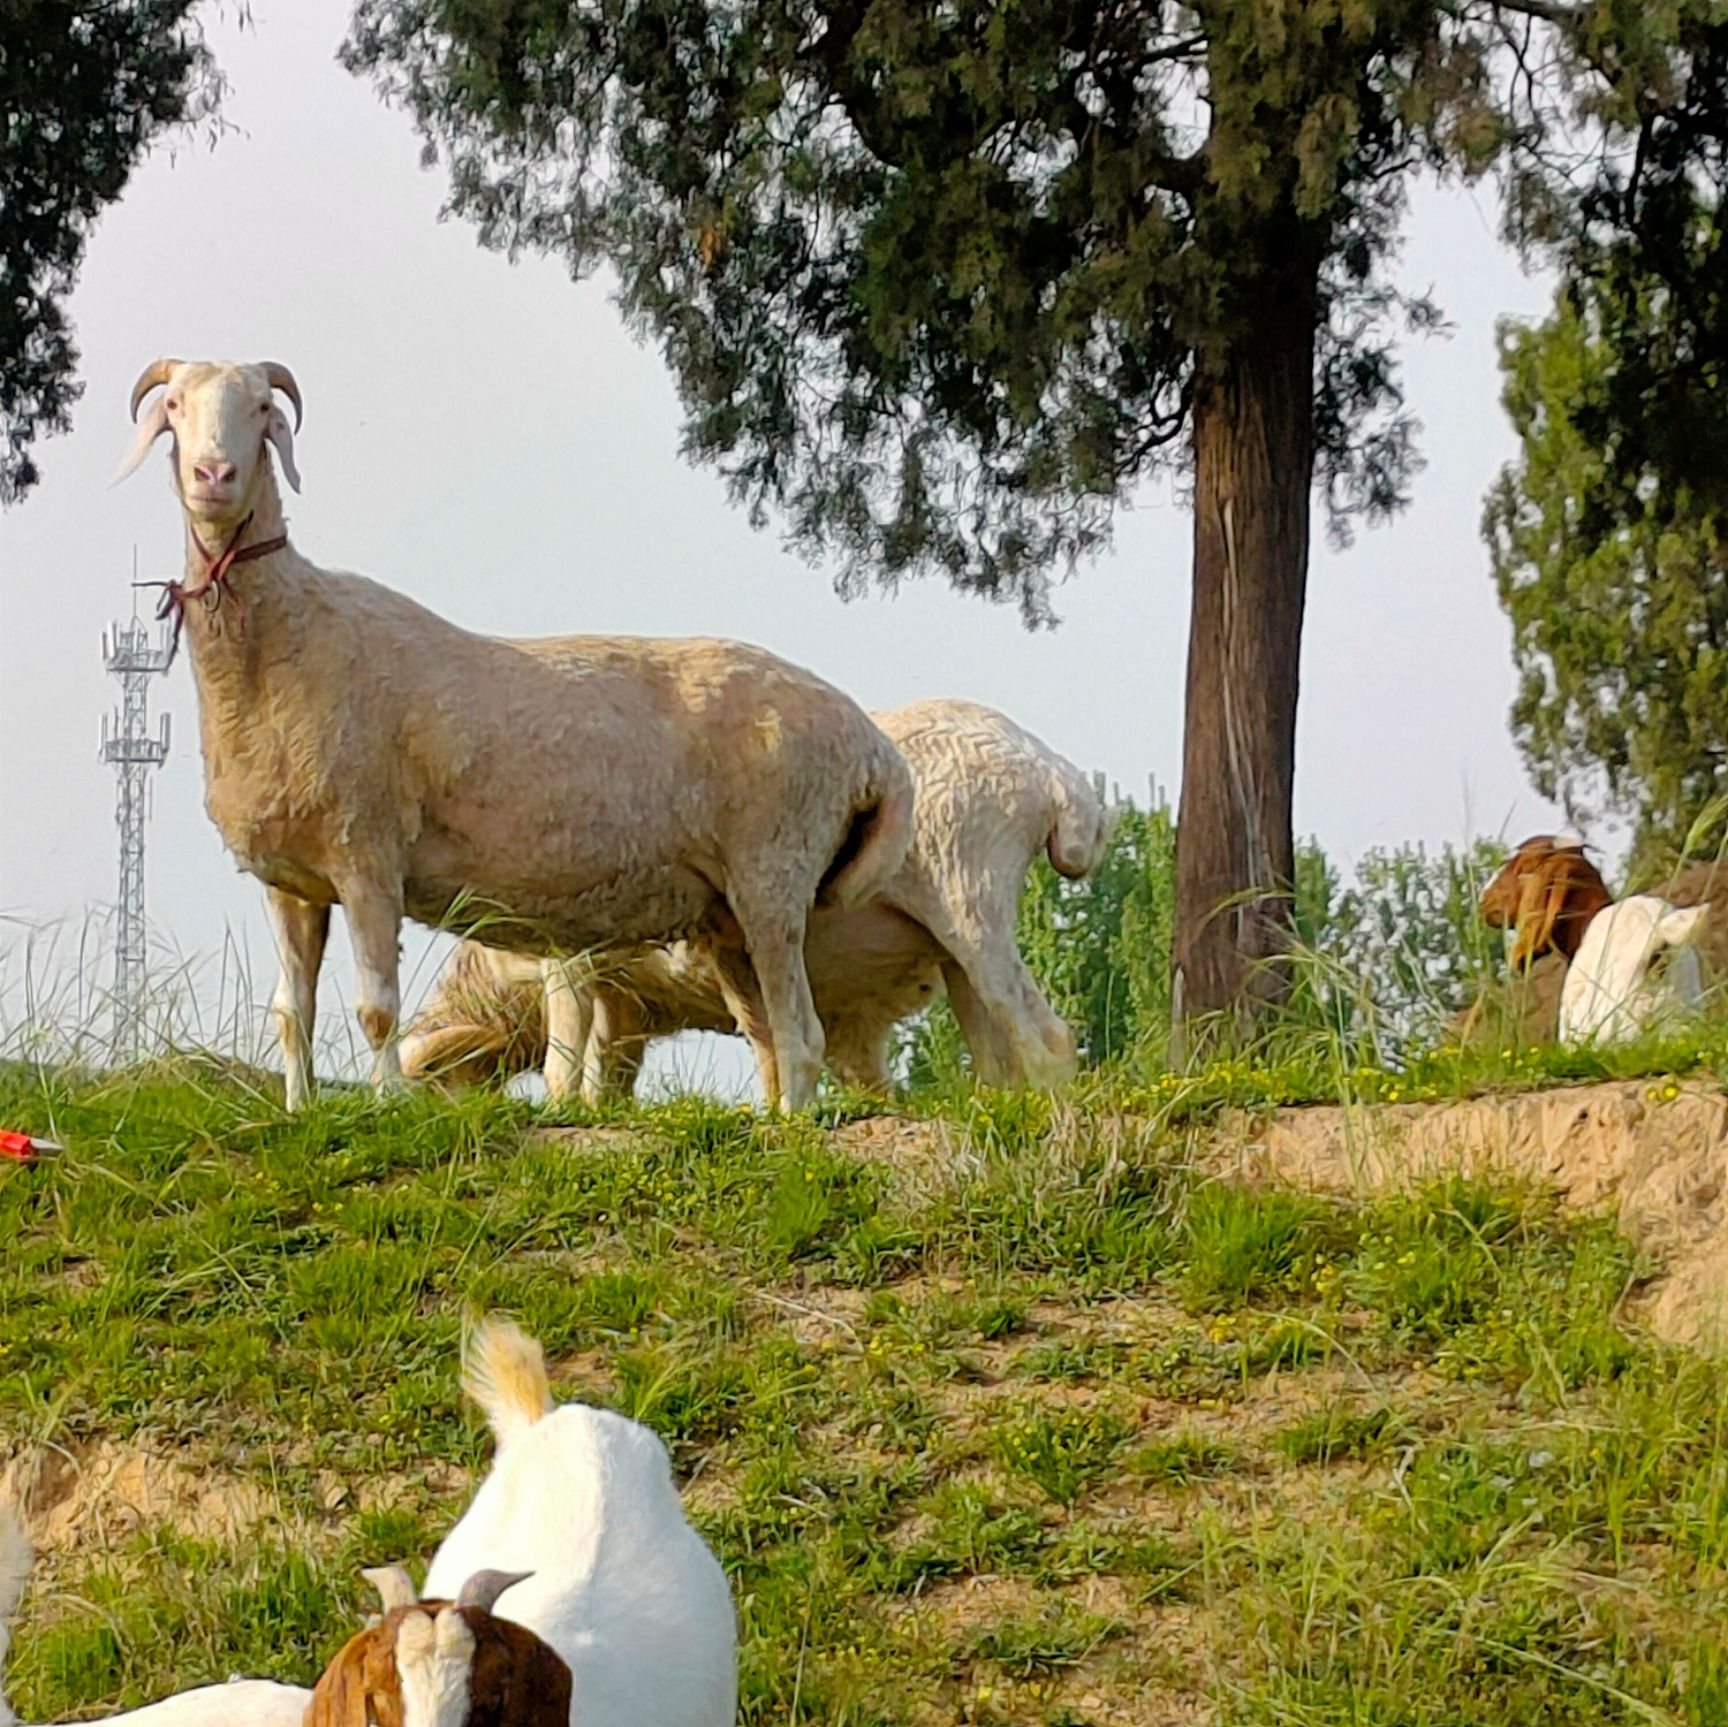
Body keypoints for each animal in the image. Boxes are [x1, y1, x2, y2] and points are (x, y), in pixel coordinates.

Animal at [114, 359, 912, 1113]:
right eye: (175, 407)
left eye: (261, 408)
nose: (213, 477)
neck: (288, 632)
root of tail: (874, 751)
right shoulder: (292, 880)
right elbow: (291, 1011)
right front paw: (300, 1110)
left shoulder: (368, 851)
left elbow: (377, 1009)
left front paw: (387, 1108)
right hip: (728, 912)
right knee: (769, 1033)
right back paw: (771, 1122)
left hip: (775, 870)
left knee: (802, 1036)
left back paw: (795, 1131)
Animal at [400, 698, 1105, 1092]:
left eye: (432, 1086)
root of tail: (1051, 771)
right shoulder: (628, 1000)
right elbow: (610, 1072)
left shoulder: (568, 957)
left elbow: (563, 1055)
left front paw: (560, 1110)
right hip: (950, 943)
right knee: (996, 1058)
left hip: (970, 890)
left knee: (1048, 1041)